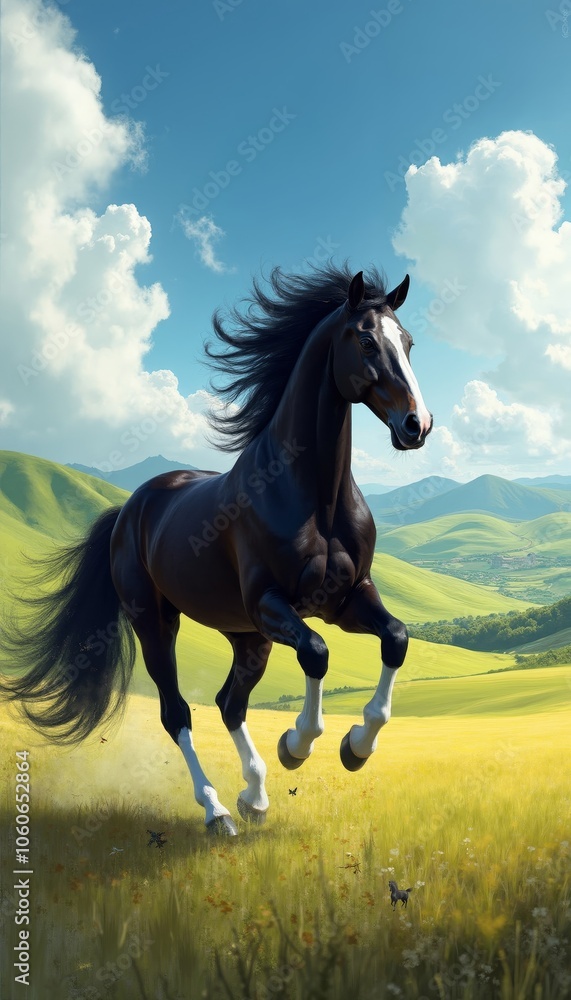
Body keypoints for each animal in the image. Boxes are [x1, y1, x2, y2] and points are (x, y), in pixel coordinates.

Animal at [0, 264, 432, 835]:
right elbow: (317, 653)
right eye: (365, 340)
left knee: (230, 703)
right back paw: (218, 810)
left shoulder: (347, 599)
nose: (417, 425)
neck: (313, 495)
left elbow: (397, 639)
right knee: (178, 712)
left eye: (407, 342)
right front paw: (297, 745)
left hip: (247, 635)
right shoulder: (272, 603)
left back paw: (255, 797)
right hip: (158, 622)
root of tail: (129, 509)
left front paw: (355, 748)